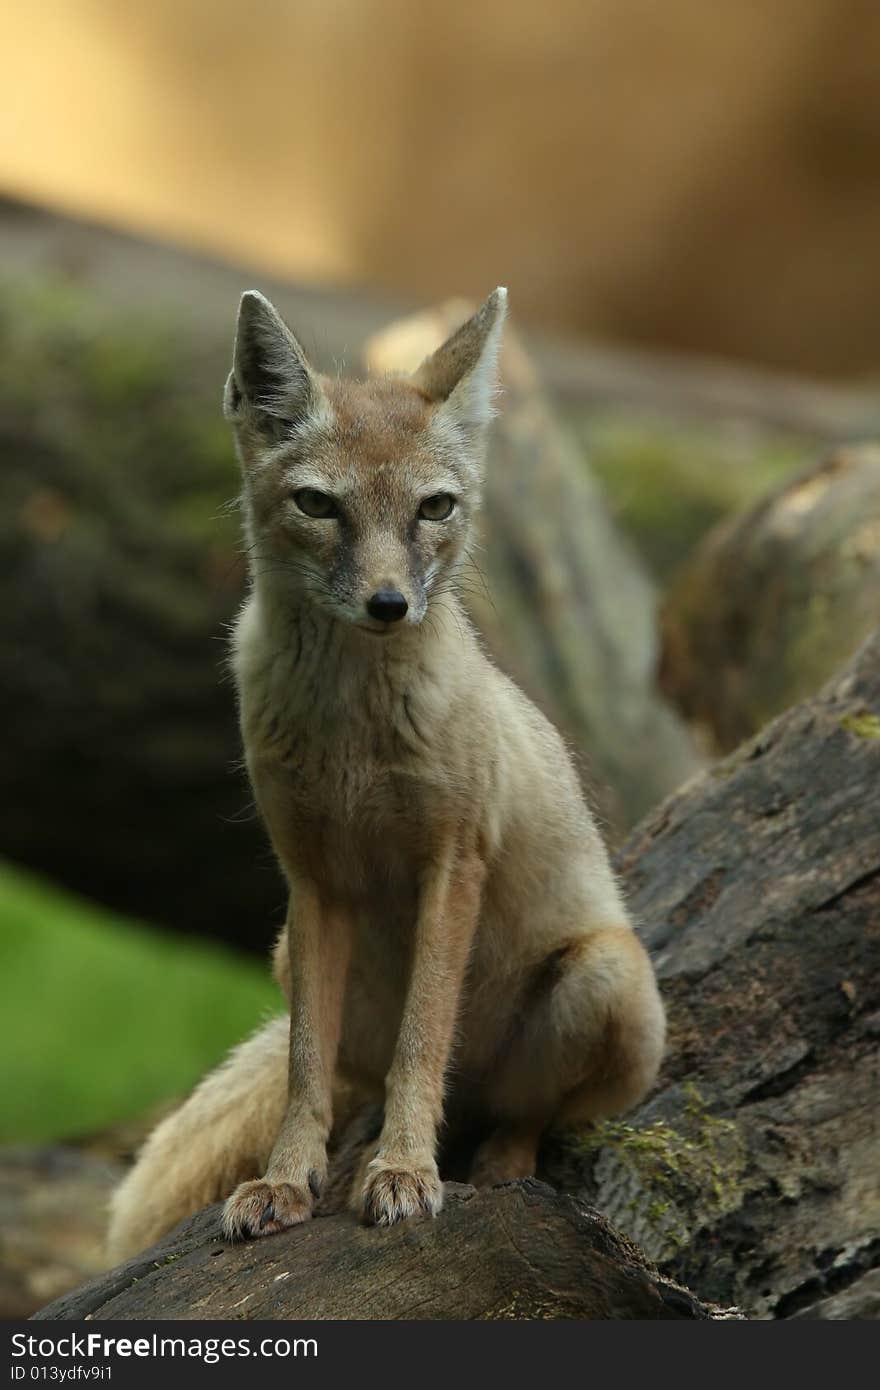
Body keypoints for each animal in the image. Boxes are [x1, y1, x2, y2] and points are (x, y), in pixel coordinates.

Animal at [106, 287, 661, 1267]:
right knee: (350, 1078)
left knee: (522, 1111)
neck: (351, 737)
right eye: (319, 505)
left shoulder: (452, 865)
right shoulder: (312, 880)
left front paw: (405, 1171)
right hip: (288, 953)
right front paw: (288, 1181)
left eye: (434, 507)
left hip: (604, 977)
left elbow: (421, 1041)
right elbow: (304, 1069)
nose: (390, 604)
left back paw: (493, 1162)